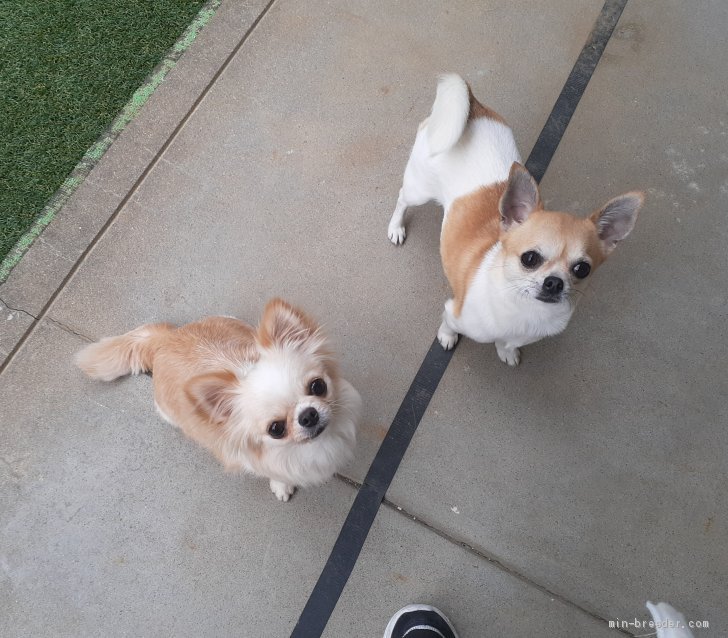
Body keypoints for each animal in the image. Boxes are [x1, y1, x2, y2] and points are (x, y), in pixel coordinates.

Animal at [75, 298, 360, 501]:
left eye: (318, 386)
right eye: (276, 429)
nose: (308, 415)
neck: (310, 447)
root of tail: (165, 338)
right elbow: (276, 473)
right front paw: (282, 485)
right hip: (167, 410)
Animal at [388, 74, 643, 365]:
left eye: (582, 269)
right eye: (529, 258)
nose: (554, 282)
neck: (524, 309)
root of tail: (472, 107)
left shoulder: (522, 335)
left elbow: (507, 342)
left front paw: (506, 351)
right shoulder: (454, 312)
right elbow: (448, 323)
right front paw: (447, 337)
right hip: (418, 189)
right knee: (402, 199)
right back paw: (396, 227)